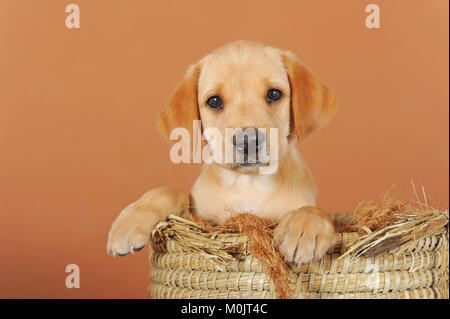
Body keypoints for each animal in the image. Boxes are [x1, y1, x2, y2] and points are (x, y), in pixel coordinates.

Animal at [107, 41, 336, 266]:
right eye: (214, 101)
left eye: (274, 94)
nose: (248, 141)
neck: (249, 184)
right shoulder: (198, 218)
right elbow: (171, 191)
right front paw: (131, 221)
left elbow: (315, 210)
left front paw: (304, 226)